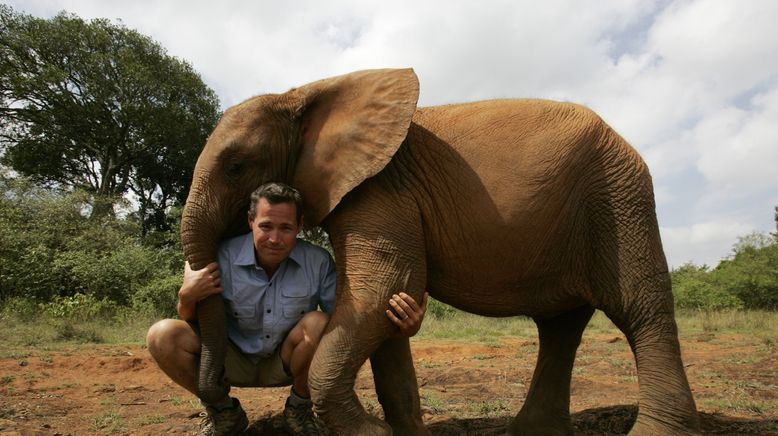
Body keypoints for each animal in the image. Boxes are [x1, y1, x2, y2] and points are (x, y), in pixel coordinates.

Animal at [182, 69, 696, 436]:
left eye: (235, 166)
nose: (228, 409)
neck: (305, 94)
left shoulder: (381, 191)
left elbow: (382, 292)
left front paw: (372, 432)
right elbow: (383, 310)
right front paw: (396, 432)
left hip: (618, 197)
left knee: (640, 310)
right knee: (560, 326)